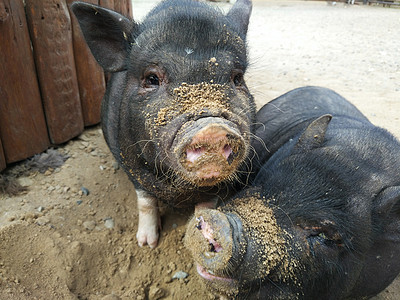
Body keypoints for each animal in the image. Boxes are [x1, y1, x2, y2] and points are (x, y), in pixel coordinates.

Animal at [70, 0, 255, 247]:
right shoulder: (131, 165)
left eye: (237, 78)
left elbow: (205, 207)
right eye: (152, 78)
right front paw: (147, 243)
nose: (212, 128)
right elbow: (145, 201)